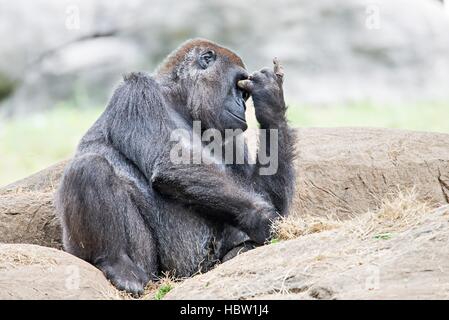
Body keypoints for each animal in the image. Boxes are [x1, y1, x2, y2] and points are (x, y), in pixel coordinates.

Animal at [54, 38, 296, 294]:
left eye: (246, 94)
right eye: (239, 89)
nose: (242, 105)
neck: (179, 101)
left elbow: (258, 189)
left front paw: (270, 103)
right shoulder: (137, 91)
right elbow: (169, 163)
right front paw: (264, 219)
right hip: (149, 270)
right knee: (89, 167)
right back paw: (115, 263)